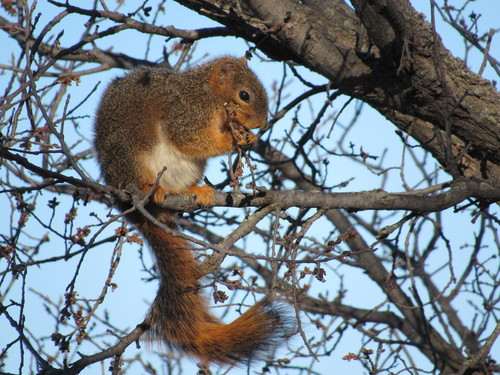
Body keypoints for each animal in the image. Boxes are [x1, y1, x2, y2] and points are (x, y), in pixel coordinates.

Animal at [94, 56, 290, 368]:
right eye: (244, 95)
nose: (261, 124)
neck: (206, 94)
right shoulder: (184, 112)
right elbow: (191, 138)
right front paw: (234, 140)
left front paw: (247, 136)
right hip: (130, 156)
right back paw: (151, 189)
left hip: (188, 170)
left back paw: (200, 191)